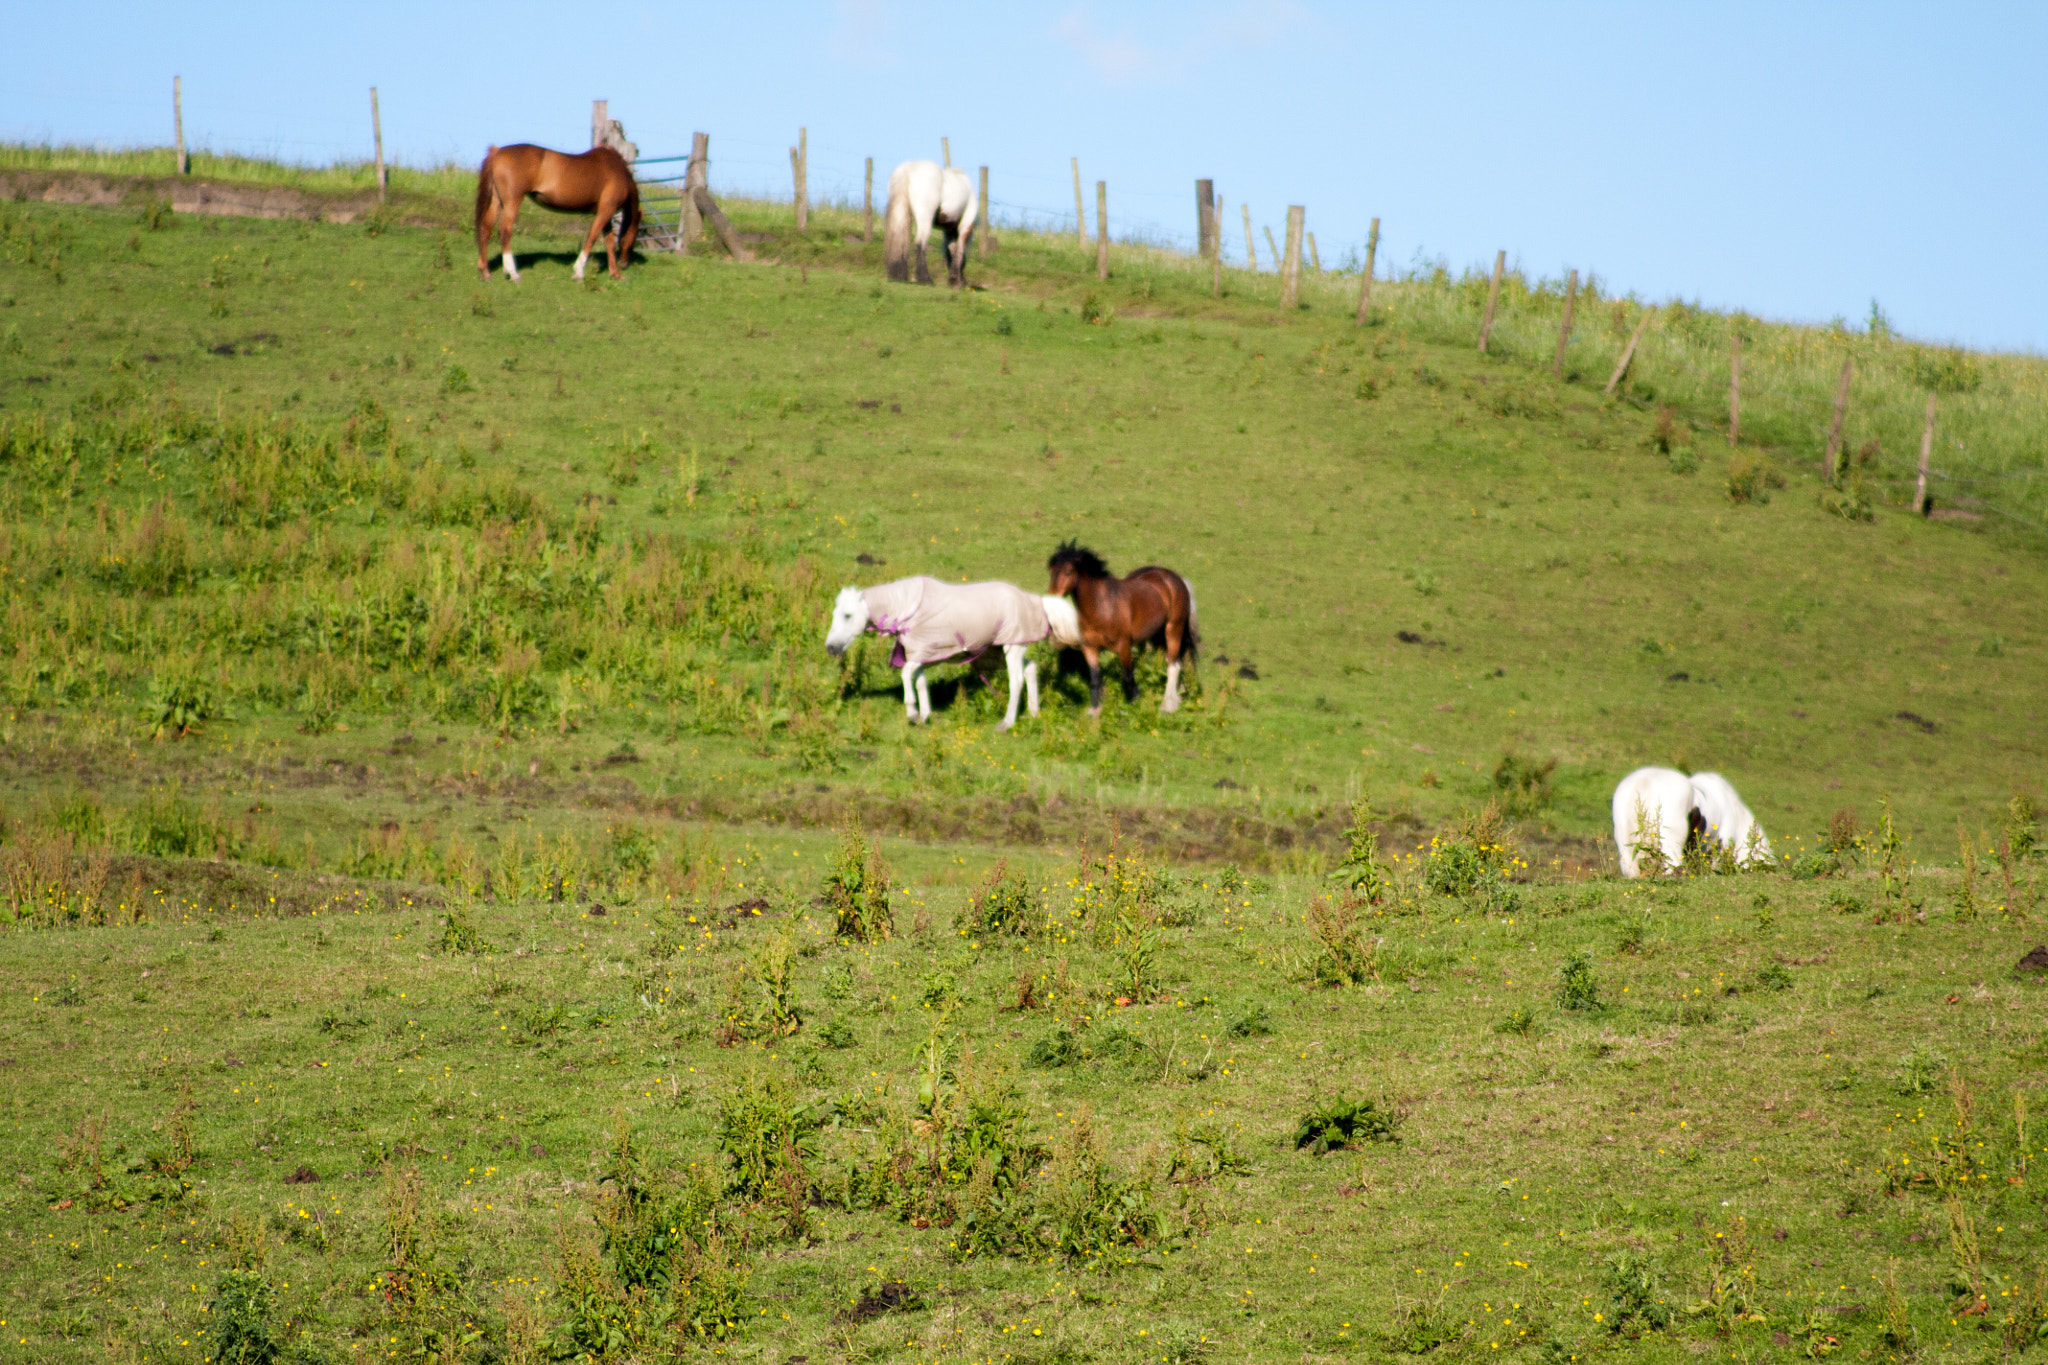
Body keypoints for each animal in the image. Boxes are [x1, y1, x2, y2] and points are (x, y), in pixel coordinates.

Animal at [473, 143, 638, 282]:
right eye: (635, 235)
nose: (625, 263)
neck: (617, 170)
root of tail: (498, 151)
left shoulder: (606, 213)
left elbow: (609, 242)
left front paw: (615, 274)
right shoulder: (606, 210)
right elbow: (592, 237)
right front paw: (579, 271)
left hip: (497, 202)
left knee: (486, 228)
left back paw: (485, 272)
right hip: (512, 202)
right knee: (505, 231)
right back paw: (513, 273)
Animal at [819, 573, 1081, 724]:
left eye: (847, 615)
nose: (830, 648)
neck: (909, 609)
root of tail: (1035, 600)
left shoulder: (919, 654)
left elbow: (906, 675)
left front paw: (912, 712)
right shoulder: (919, 653)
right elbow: (920, 682)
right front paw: (924, 715)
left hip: (1012, 646)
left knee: (1016, 680)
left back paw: (1007, 722)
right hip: (1005, 649)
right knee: (1031, 670)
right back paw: (1033, 713)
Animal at [880, 160, 974, 288]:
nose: (962, 279)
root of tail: (909, 169)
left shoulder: (948, 230)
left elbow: (950, 250)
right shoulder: (965, 226)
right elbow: (959, 251)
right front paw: (956, 281)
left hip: (901, 212)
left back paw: (898, 275)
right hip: (925, 219)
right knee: (920, 244)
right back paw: (925, 279)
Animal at [1040, 540, 1196, 720]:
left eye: (1068, 571)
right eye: (1051, 571)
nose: (1050, 601)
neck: (1103, 607)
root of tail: (1175, 579)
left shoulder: (1124, 646)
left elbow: (1128, 677)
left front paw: (1137, 704)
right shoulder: (1090, 648)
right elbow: (1095, 678)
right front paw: (1094, 711)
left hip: (1173, 629)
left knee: (1173, 666)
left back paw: (1167, 705)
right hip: (1158, 635)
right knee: (1177, 662)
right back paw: (1176, 697)